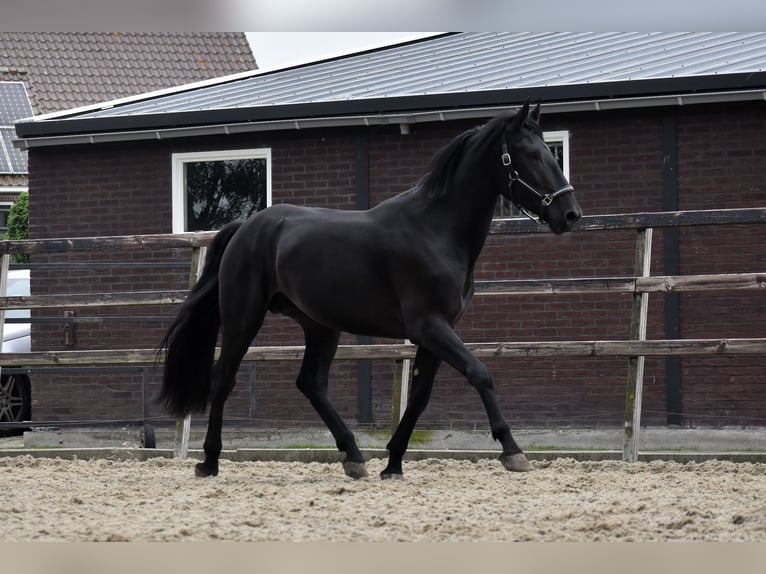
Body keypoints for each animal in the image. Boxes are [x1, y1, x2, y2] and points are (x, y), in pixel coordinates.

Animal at [160, 103, 584, 482]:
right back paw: (209, 462)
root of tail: (245, 228)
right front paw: (512, 450)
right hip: (243, 317)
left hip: (320, 325)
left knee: (311, 383)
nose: (570, 214)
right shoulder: (430, 326)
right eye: (532, 155)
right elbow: (480, 373)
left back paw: (354, 456)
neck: (436, 230)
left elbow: (419, 398)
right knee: (224, 379)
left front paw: (393, 463)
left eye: (549, 151)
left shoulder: (435, 333)